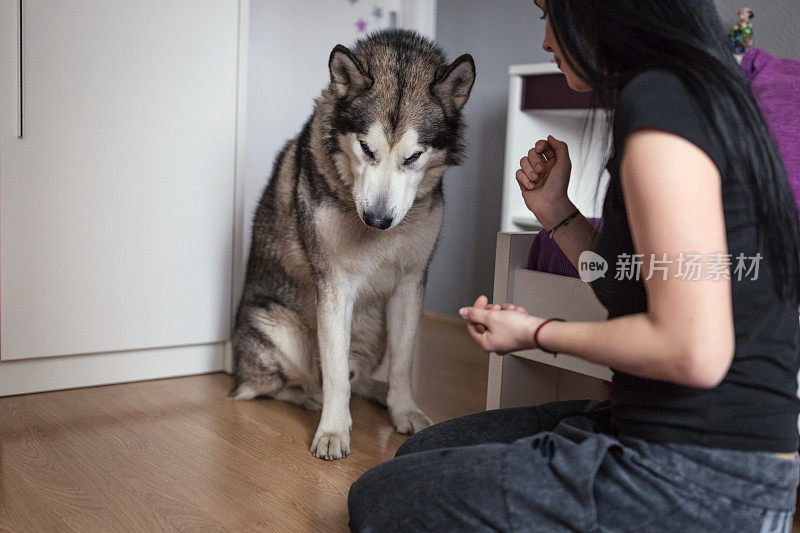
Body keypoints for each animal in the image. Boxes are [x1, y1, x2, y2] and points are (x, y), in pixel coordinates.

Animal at [228, 29, 472, 460]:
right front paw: (333, 431)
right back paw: (309, 396)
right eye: (366, 148)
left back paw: (378, 391)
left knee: (359, 376)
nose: (377, 219)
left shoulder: (411, 282)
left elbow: (403, 362)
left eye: (413, 157)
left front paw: (403, 409)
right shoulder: (334, 286)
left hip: (375, 331)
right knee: (271, 387)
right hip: (279, 328)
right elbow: (336, 373)